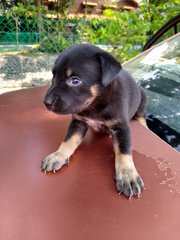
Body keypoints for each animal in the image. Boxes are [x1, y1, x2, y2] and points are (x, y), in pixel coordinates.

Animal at [41, 44, 147, 198]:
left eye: (75, 81)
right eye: (53, 76)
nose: (46, 102)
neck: (95, 105)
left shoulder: (121, 127)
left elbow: (124, 151)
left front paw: (128, 175)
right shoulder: (78, 122)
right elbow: (68, 140)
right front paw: (58, 155)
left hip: (143, 99)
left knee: (142, 116)